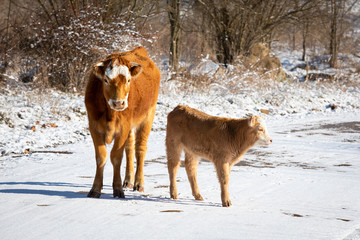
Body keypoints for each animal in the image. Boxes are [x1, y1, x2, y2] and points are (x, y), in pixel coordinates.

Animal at [85, 46, 160, 198]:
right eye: (106, 80)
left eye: (128, 80)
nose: (119, 103)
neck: (110, 114)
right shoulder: (94, 127)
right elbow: (101, 157)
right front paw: (95, 189)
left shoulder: (122, 129)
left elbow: (116, 157)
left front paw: (118, 188)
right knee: (130, 148)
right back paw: (128, 180)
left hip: (148, 116)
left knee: (140, 149)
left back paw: (138, 183)